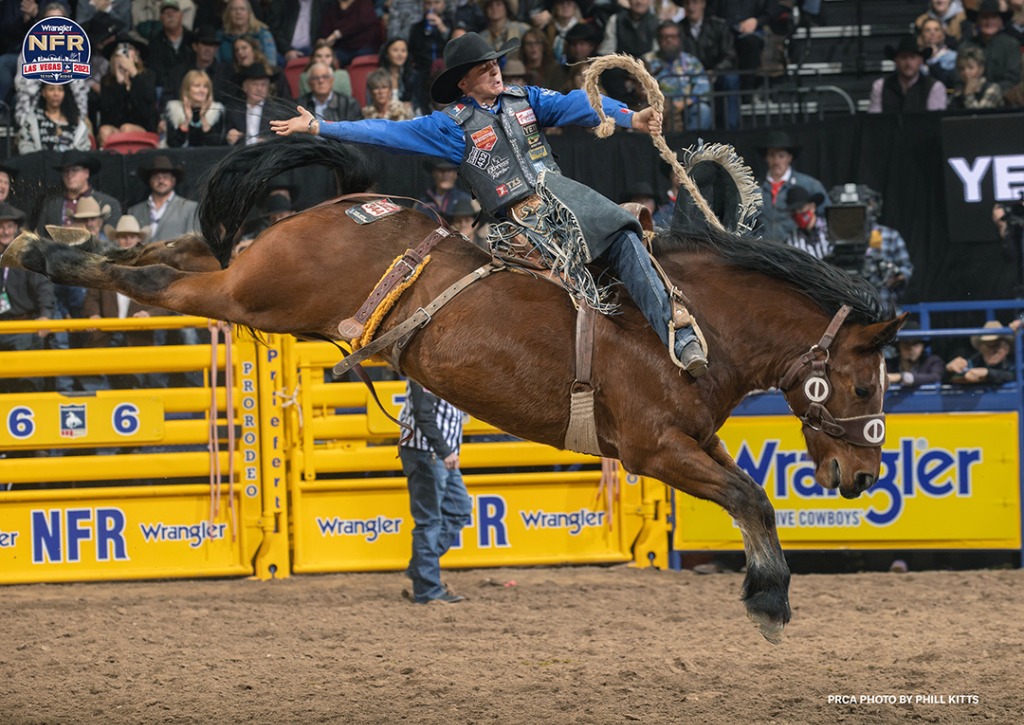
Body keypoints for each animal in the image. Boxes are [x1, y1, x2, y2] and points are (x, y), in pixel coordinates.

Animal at [6, 134, 905, 638]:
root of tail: (357, 203)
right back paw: (42, 252)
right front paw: (770, 601)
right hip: (253, 293)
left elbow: (752, 493)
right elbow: (750, 494)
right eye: (864, 385)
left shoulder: (692, 440)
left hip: (251, 265)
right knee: (160, 281)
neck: (685, 321)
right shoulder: (655, 447)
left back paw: (43, 241)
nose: (863, 476)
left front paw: (767, 588)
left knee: (165, 251)